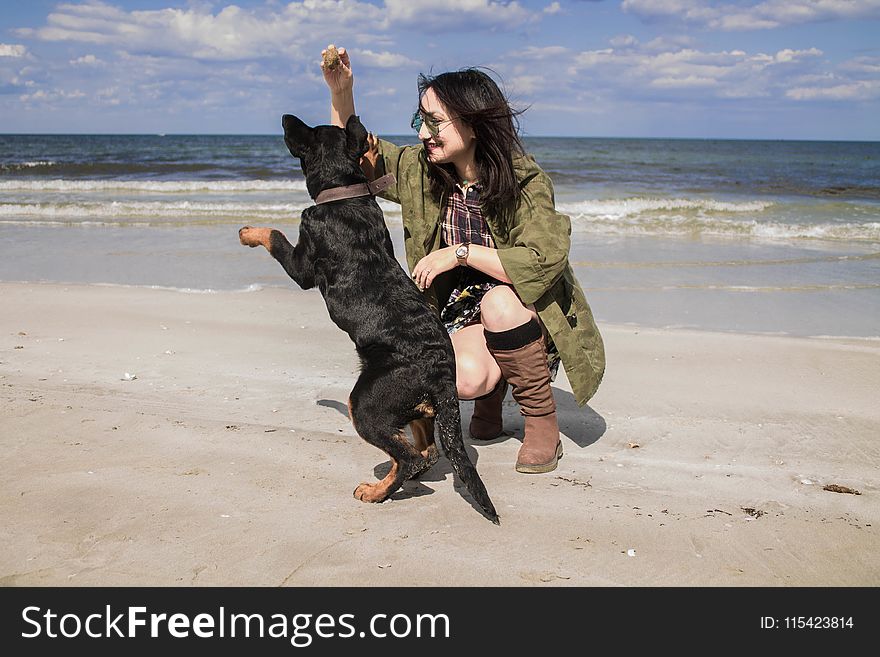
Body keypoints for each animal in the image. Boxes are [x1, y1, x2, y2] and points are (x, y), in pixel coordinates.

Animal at [237, 113, 498, 524]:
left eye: (308, 132)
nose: (286, 118)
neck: (344, 191)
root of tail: (441, 369)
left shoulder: (301, 266)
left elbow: (274, 234)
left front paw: (249, 232)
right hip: (411, 408)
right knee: (422, 452)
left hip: (365, 403)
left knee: (409, 456)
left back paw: (376, 492)